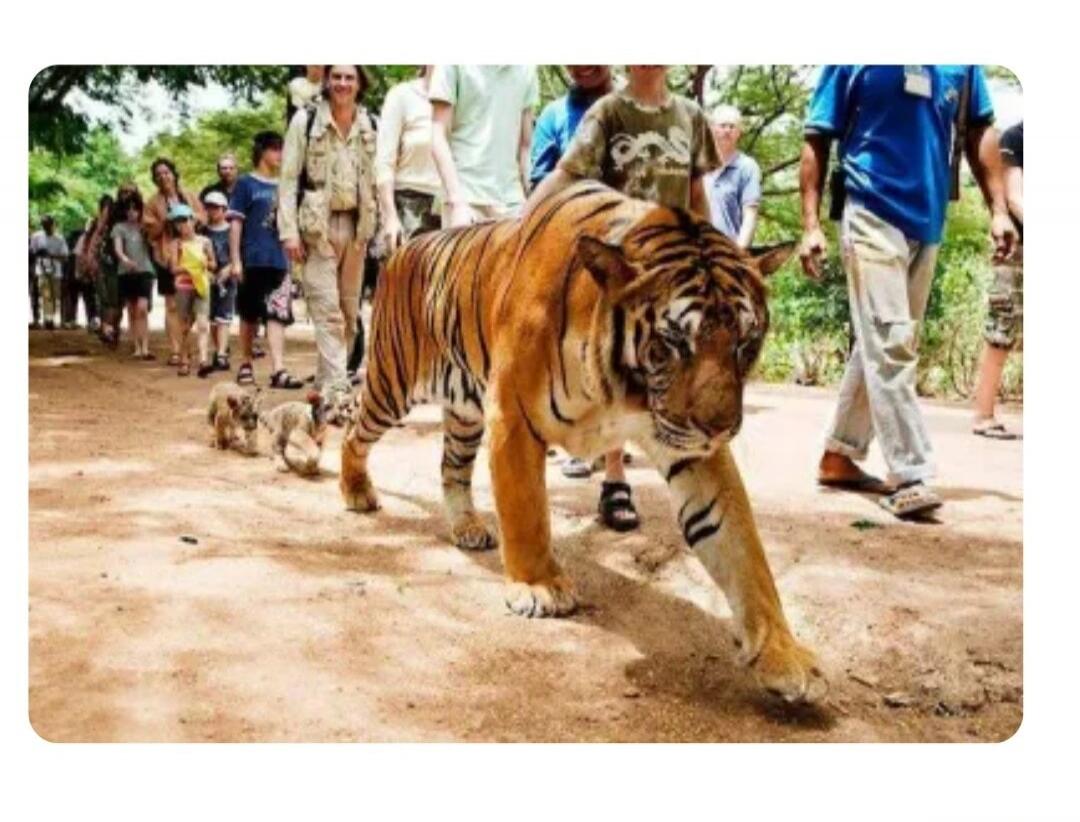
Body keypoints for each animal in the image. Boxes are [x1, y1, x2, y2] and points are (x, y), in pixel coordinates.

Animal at [340, 180, 826, 703]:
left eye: (745, 343)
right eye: (675, 343)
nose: (720, 429)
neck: (620, 389)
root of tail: (405, 247)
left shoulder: (689, 449)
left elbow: (743, 548)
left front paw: (783, 654)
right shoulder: (512, 416)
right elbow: (527, 512)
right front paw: (539, 587)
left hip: (464, 411)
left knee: (451, 468)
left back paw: (466, 526)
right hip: (393, 385)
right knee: (353, 429)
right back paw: (356, 492)